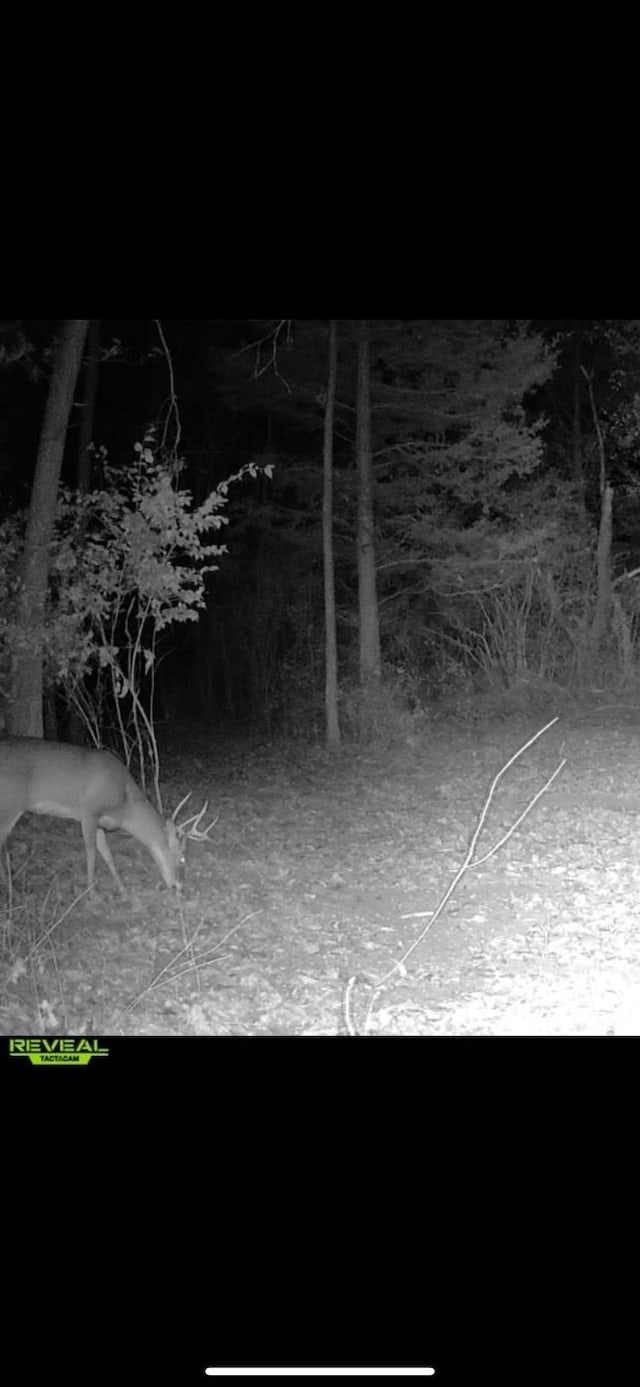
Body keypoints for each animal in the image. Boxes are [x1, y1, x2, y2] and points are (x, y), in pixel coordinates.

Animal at [0, 737, 215, 898]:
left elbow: (107, 853)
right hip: (11, 802)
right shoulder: (88, 811)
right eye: (182, 858)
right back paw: (12, 893)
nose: (180, 887)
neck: (123, 805)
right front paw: (92, 894)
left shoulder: (101, 821)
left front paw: (124, 891)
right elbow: (91, 850)